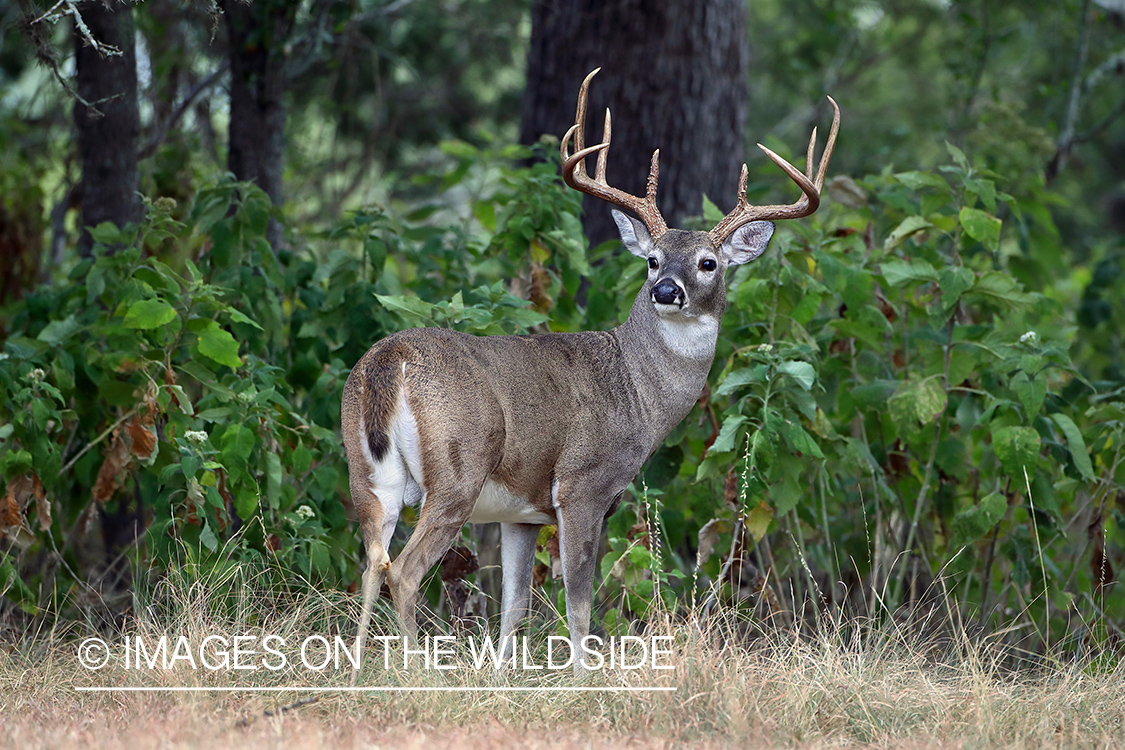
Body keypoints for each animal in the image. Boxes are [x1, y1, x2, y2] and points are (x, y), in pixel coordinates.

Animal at [342, 67, 837, 683]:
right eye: (652, 260)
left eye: (708, 263)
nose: (665, 291)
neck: (636, 390)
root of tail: (390, 360)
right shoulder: (584, 486)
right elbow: (578, 601)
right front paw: (583, 680)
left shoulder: (523, 513)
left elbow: (515, 605)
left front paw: (502, 677)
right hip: (458, 469)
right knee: (403, 571)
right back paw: (416, 672)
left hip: (367, 473)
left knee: (370, 562)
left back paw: (358, 672)